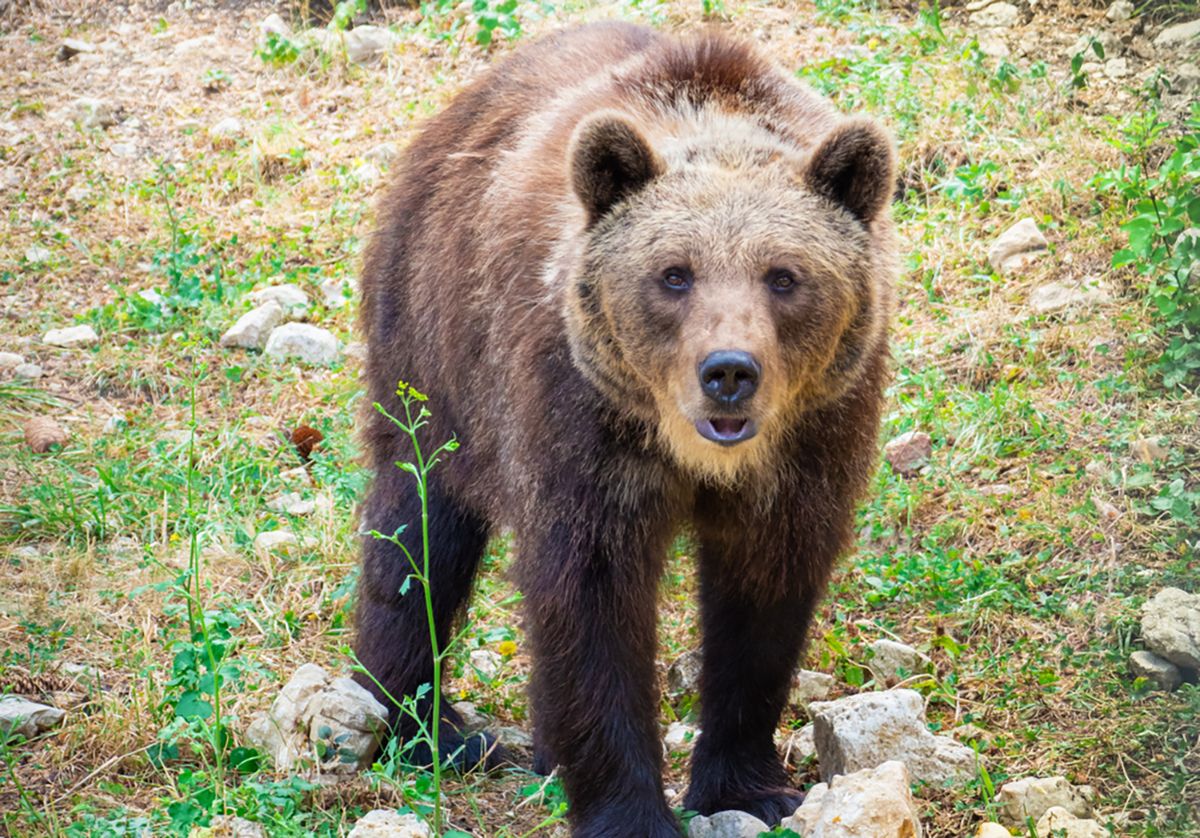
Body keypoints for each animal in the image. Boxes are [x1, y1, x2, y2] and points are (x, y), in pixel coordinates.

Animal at [350, 21, 897, 835]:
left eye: (784, 275)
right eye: (674, 273)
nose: (728, 371)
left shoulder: (816, 433)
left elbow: (765, 596)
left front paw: (750, 786)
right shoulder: (579, 422)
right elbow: (590, 601)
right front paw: (629, 808)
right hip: (432, 346)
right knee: (417, 532)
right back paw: (431, 730)